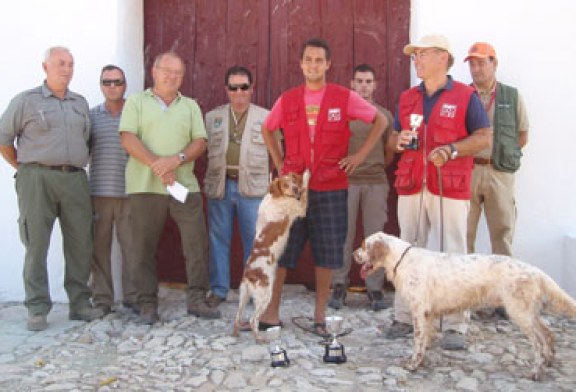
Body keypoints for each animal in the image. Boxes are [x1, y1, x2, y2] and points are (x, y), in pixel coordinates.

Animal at [232, 170, 308, 342]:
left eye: (292, 181)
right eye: (285, 184)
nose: (294, 189)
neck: (275, 196)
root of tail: (250, 275)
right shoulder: (299, 208)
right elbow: (306, 189)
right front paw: (308, 173)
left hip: (243, 296)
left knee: (237, 317)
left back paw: (236, 334)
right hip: (265, 296)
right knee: (253, 319)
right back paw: (259, 338)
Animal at [354, 231, 576, 382]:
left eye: (365, 245)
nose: (354, 254)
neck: (402, 259)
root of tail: (535, 270)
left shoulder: (419, 311)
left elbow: (417, 342)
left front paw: (412, 364)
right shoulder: (428, 314)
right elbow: (425, 340)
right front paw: (422, 360)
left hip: (519, 312)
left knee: (538, 343)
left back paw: (536, 371)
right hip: (528, 312)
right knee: (548, 333)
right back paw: (549, 361)